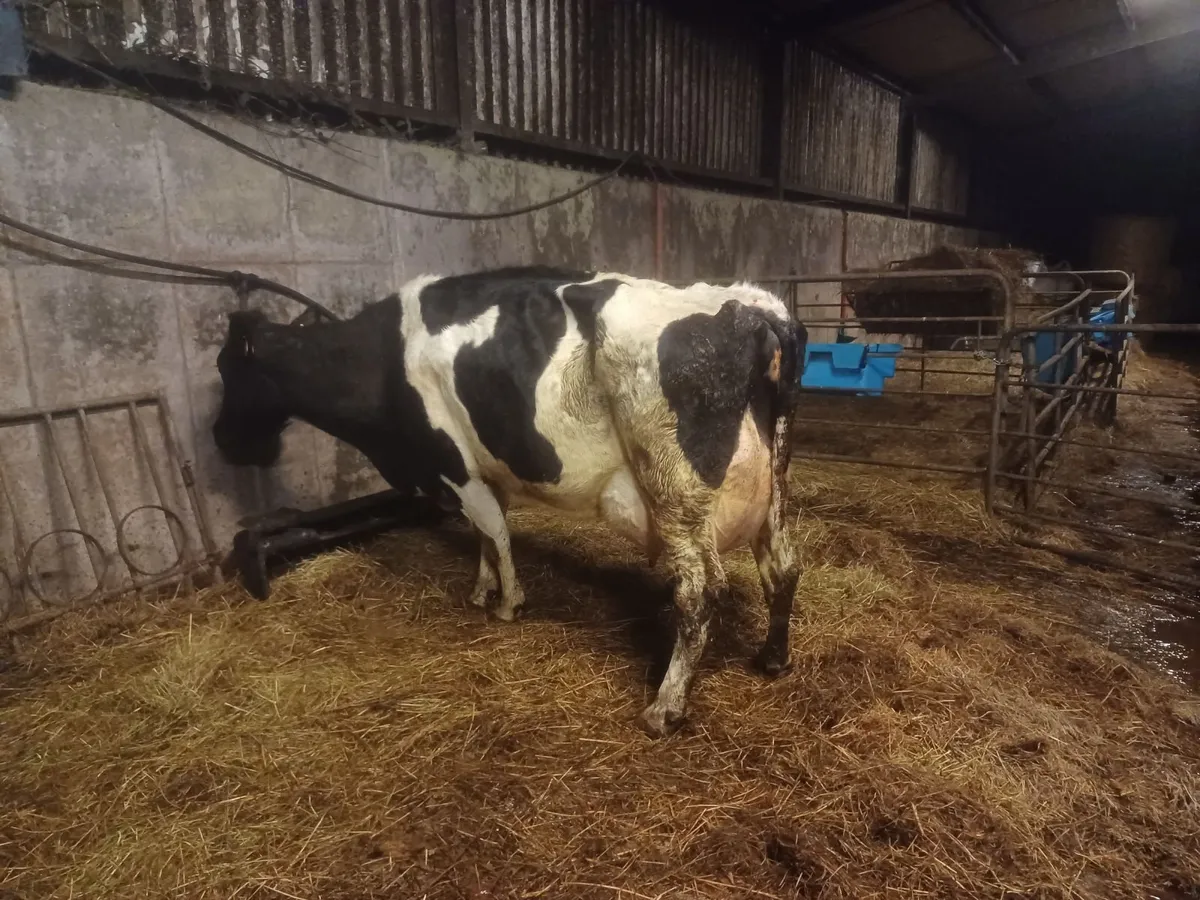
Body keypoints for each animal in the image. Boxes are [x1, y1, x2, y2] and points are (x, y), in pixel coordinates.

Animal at [212, 266, 806, 737]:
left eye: (227, 369)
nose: (221, 440)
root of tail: (755, 307)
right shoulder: (481, 467)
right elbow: (483, 533)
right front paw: (481, 589)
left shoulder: (452, 461)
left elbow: (494, 530)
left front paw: (507, 603)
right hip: (771, 492)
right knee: (783, 568)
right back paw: (772, 659)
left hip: (674, 489)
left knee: (699, 592)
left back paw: (665, 708)